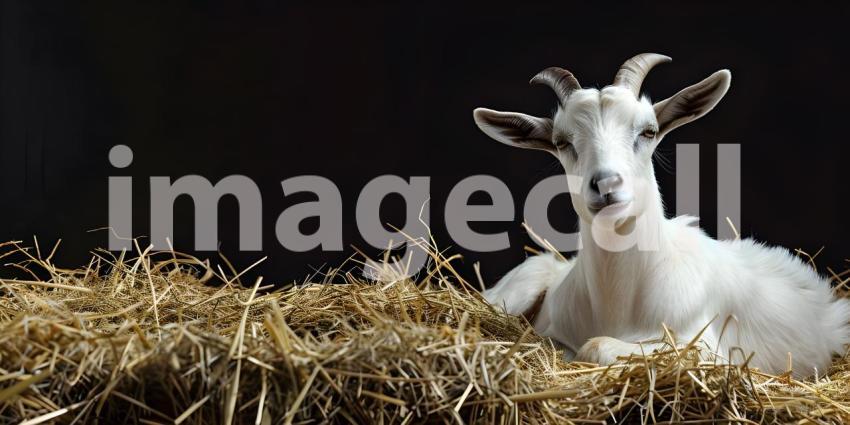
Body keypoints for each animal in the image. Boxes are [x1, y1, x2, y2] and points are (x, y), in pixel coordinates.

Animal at [474, 53, 850, 377]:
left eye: (648, 131)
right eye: (561, 142)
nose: (606, 184)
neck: (616, 304)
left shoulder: (704, 349)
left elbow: (595, 347)